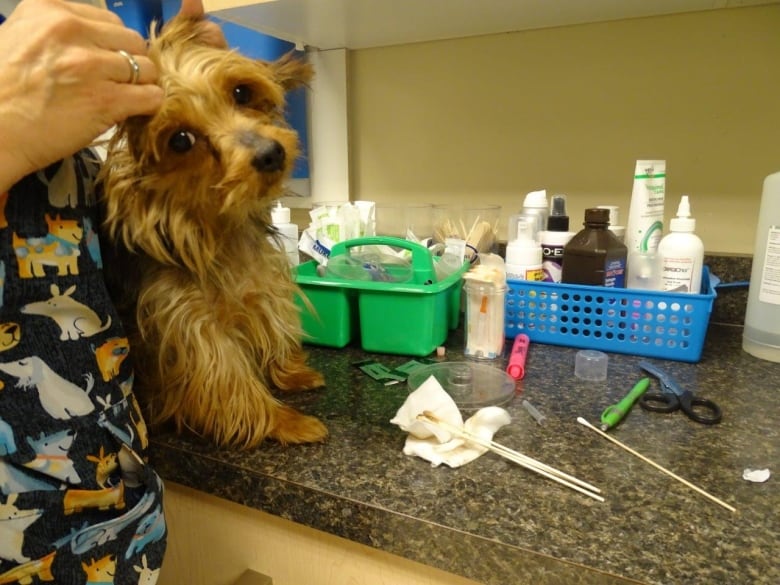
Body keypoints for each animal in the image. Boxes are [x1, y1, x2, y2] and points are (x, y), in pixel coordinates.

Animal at [100, 16, 326, 450]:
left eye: (241, 92)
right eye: (180, 140)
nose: (270, 154)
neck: (224, 228)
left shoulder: (260, 287)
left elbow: (271, 323)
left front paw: (290, 372)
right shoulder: (193, 328)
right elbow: (228, 378)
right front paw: (284, 420)